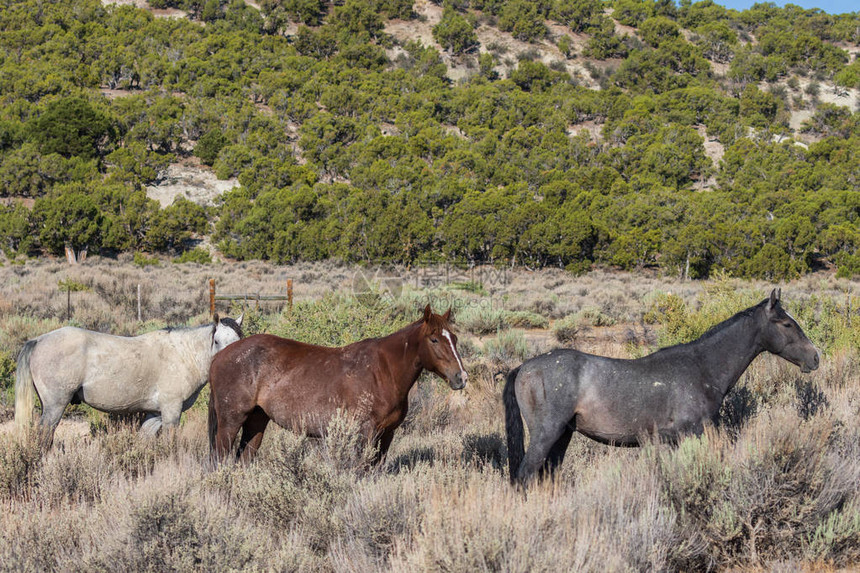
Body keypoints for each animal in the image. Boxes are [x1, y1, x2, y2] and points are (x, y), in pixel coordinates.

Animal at [17, 312, 245, 446]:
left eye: (240, 339)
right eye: (217, 341)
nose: (232, 367)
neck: (182, 354)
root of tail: (38, 340)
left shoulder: (154, 414)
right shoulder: (171, 412)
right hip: (55, 406)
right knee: (44, 436)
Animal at [208, 306, 466, 462]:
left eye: (453, 338)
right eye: (434, 339)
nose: (461, 377)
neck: (384, 371)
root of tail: (219, 357)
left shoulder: (387, 435)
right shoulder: (366, 433)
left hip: (257, 420)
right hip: (231, 421)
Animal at [504, 290, 820, 482]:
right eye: (787, 324)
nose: (815, 357)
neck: (702, 367)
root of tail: (524, 367)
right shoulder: (691, 435)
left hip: (563, 436)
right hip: (547, 433)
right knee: (525, 475)